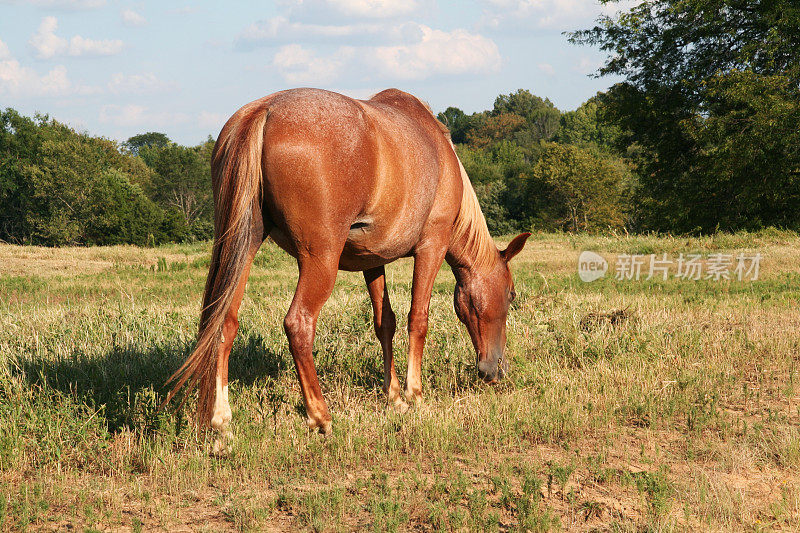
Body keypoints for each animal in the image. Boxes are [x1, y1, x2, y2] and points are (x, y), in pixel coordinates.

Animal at [167, 87, 532, 440]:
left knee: (224, 324)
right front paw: (414, 394)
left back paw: (221, 421)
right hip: (319, 261)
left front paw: (394, 396)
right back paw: (320, 416)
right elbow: (418, 319)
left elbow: (385, 323)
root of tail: (264, 110)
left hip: (243, 246)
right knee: (298, 324)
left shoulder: (373, 260)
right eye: (511, 295)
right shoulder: (432, 246)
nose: (496, 369)